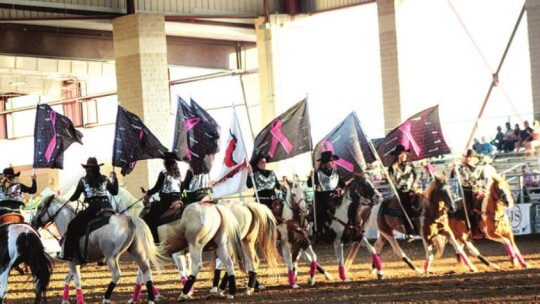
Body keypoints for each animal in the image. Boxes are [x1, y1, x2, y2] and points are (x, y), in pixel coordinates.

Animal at [31, 195, 160, 304]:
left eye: (40, 207)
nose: (33, 223)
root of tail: (129, 220)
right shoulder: (78, 263)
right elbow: (68, 279)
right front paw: (64, 301)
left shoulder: (71, 261)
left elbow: (77, 281)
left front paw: (80, 301)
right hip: (137, 253)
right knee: (145, 272)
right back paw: (148, 299)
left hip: (111, 257)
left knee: (117, 275)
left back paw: (106, 299)